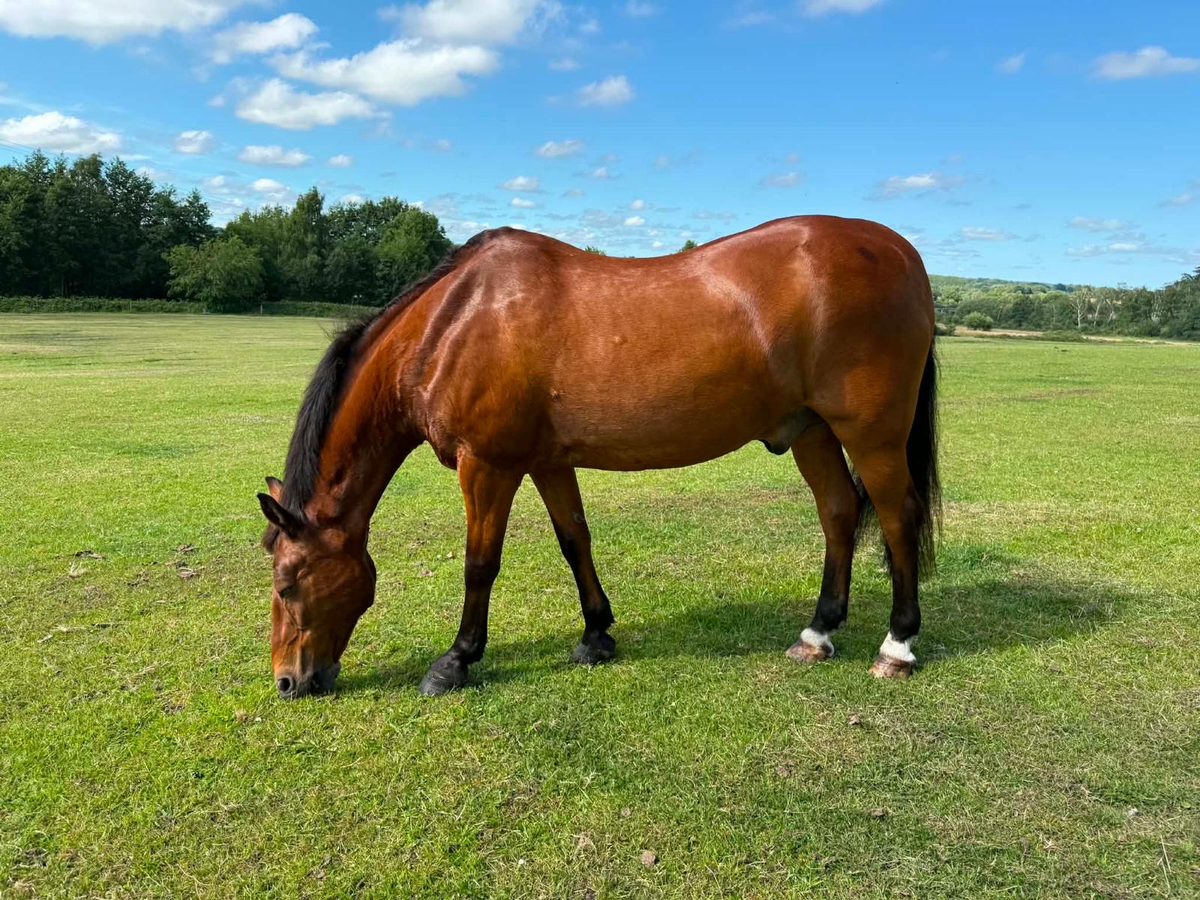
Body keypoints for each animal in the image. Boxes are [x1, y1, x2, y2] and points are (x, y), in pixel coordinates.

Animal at [258, 215, 941, 699]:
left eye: (289, 583)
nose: (288, 682)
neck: (451, 324)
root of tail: (900, 251)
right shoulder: (547, 461)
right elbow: (574, 540)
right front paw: (595, 635)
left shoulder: (489, 465)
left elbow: (480, 564)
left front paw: (456, 660)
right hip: (811, 432)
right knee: (839, 513)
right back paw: (818, 633)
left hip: (872, 436)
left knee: (897, 517)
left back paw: (897, 646)